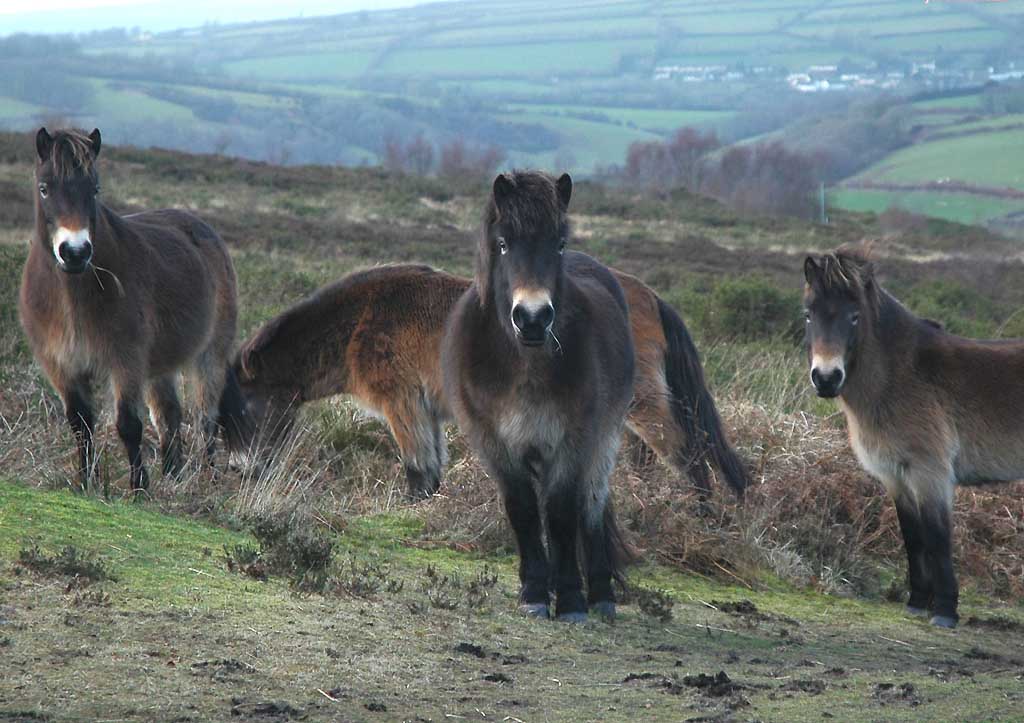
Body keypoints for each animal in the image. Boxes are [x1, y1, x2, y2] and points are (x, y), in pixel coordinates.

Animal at [19, 126, 247, 493]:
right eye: (44, 188)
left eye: (94, 188)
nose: (75, 252)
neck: (73, 297)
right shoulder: (62, 366)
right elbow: (80, 424)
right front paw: (86, 481)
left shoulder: (125, 360)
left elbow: (128, 424)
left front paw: (139, 488)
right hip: (160, 365)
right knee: (169, 415)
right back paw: (173, 476)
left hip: (210, 353)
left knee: (205, 418)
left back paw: (208, 479)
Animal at [232, 260, 749, 501]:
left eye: (244, 406)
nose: (240, 472)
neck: (361, 320)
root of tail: (649, 296)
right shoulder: (425, 409)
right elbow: (432, 469)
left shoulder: (402, 404)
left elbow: (417, 468)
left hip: (642, 404)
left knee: (688, 453)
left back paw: (704, 512)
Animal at [442, 168, 634, 618]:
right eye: (503, 244)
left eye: (559, 244)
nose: (531, 318)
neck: (523, 367)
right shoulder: (495, 443)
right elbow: (524, 510)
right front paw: (533, 591)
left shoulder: (572, 441)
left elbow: (562, 512)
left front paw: (570, 598)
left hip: (605, 440)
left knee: (592, 504)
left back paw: (601, 594)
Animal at [802, 243, 1024, 626]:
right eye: (809, 314)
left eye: (854, 317)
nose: (827, 378)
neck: (902, 375)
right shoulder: (895, 476)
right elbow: (913, 536)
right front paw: (918, 601)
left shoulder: (929, 473)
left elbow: (936, 537)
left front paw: (946, 610)